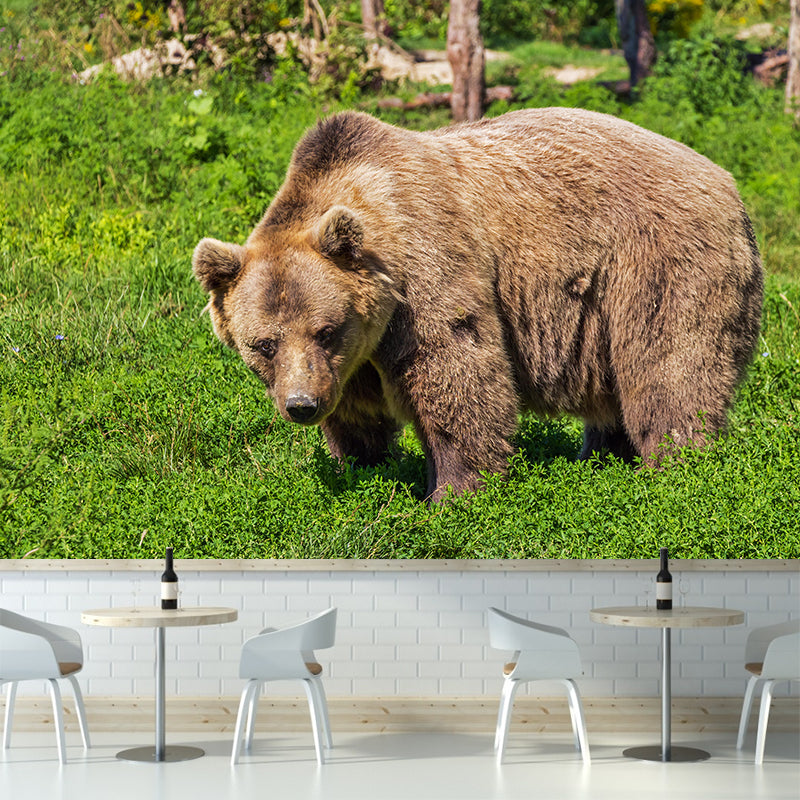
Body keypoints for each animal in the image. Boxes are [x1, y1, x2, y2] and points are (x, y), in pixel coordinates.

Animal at [192, 107, 763, 502]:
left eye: (325, 329)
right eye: (263, 344)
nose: (301, 405)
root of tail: (729, 183)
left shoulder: (426, 273)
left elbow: (458, 374)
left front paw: (453, 492)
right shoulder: (352, 360)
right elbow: (357, 415)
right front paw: (363, 466)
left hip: (657, 264)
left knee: (669, 369)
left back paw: (675, 466)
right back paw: (600, 458)